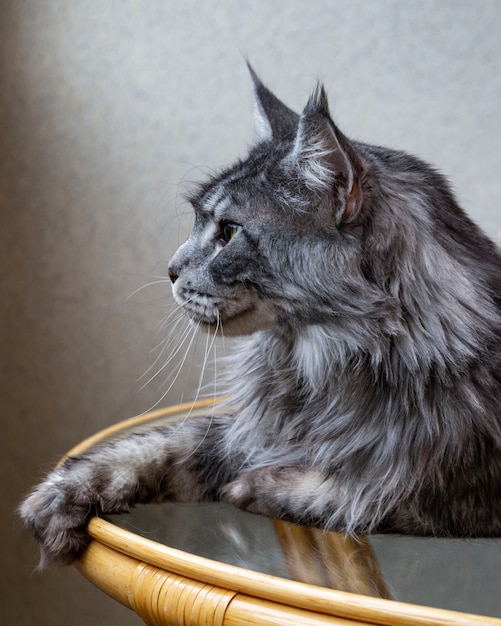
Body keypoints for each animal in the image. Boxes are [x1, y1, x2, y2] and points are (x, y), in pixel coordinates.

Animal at [19, 64, 500, 564]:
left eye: (229, 232)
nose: (169, 270)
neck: (317, 370)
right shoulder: (244, 429)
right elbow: (158, 444)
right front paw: (58, 498)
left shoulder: (456, 490)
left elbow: (361, 490)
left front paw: (249, 486)